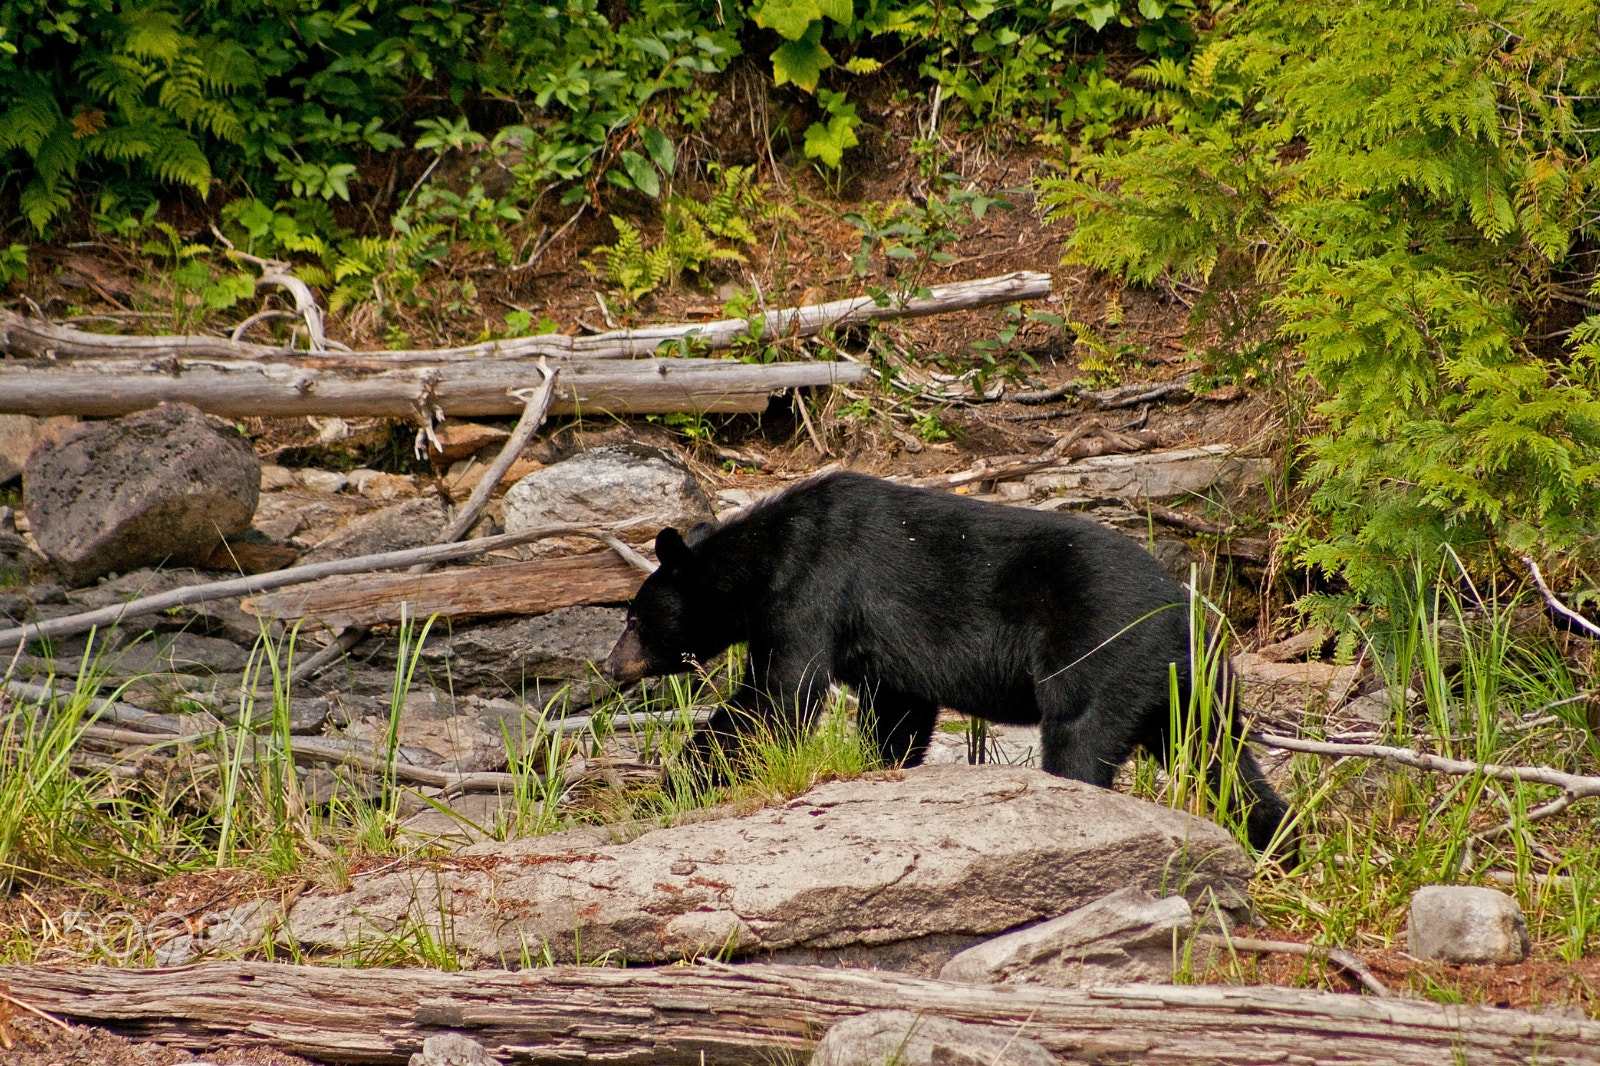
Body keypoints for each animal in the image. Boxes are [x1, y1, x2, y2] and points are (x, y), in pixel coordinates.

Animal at [605, 471, 1292, 854]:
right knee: (1224, 761)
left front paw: (670, 788)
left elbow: (777, 695)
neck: (764, 556)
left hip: (1100, 657)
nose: (612, 666)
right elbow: (896, 712)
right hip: (1191, 690)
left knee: (1081, 740)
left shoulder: (813, 588)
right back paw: (1277, 844)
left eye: (634, 618)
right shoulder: (883, 654)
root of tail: (1188, 620)